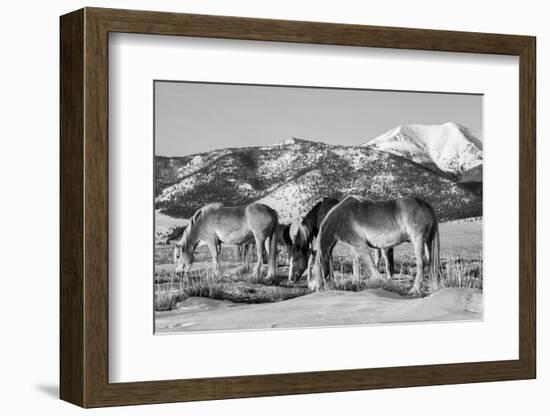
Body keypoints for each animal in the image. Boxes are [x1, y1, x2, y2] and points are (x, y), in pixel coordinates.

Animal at [312, 196, 442, 296]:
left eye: (314, 271)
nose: (316, 289)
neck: (340, 216)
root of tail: (426, 205)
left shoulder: (360, 245)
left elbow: (371, 264)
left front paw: (380, 283)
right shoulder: (354, 246)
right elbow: (356, 264)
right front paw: (355, 284)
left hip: (418, 240)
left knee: (421, 264)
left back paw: (414, 290)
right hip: (428, 242)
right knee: (432, 262)